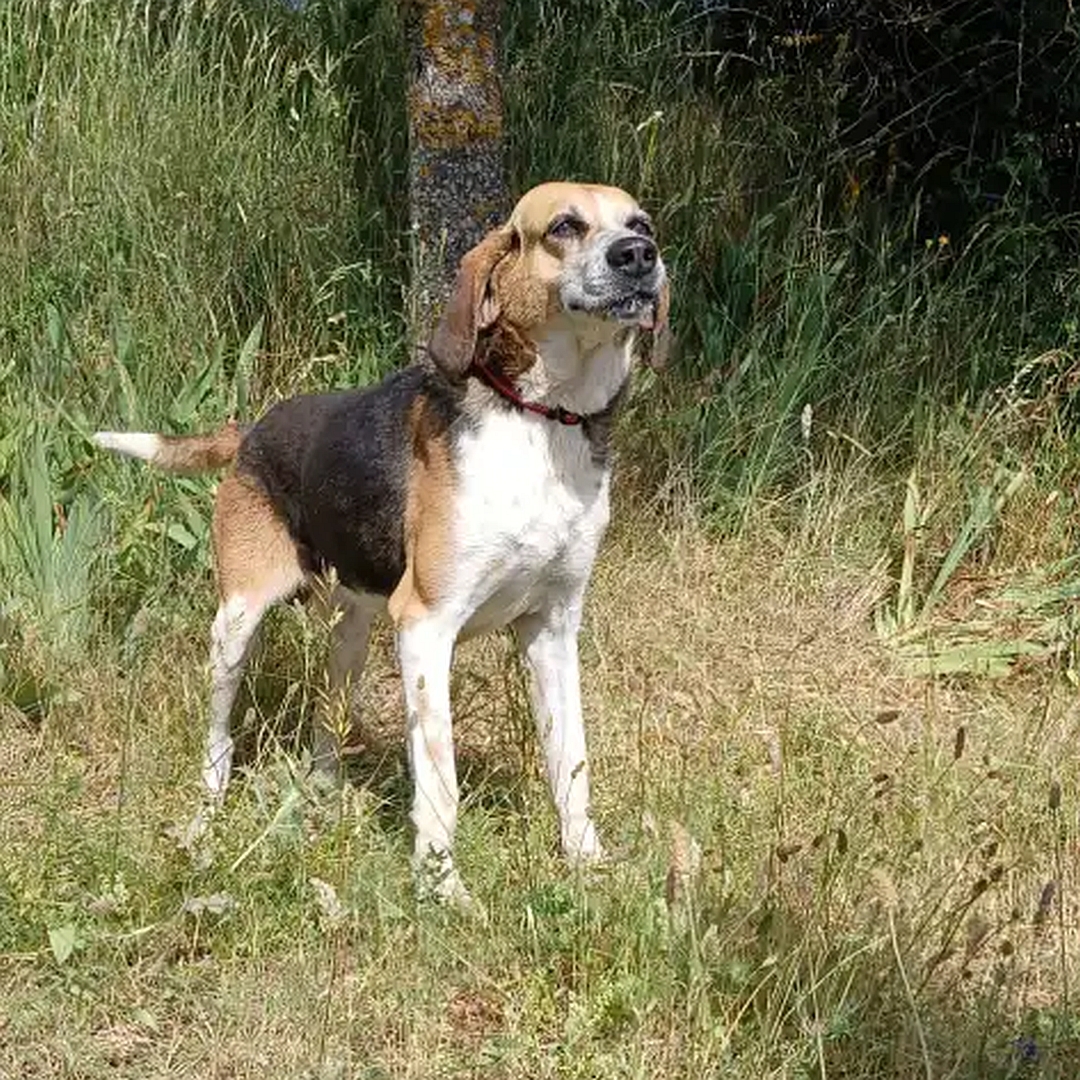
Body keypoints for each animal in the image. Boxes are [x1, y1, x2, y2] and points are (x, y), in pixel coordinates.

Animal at [95, 179, 665, 902]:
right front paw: (443, 889)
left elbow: (571, 761)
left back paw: (320, 796)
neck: (541, 421)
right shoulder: (427, 625)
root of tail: (253, 430)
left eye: (641, 224)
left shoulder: (554, 628)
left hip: (353, 635)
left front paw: (588, 863)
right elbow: (441, 782)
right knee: (219, 735)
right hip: (237, 623)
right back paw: (207, 811)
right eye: (564, 226)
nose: (639, 257)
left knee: (324, 722)